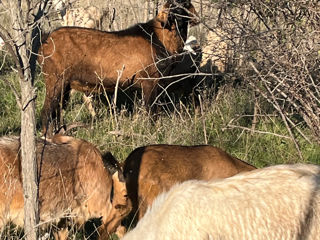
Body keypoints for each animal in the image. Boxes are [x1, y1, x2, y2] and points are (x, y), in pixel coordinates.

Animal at [38, 0, 199, 135]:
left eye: (187, 3)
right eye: (176, 7)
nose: (196, 19)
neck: (157, 37)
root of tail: (45, 42)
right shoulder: (149, 81)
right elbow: (151, 112)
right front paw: (153, 133)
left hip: (64, 85)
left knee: (56, 111)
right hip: (55, 80)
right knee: (46, 112)